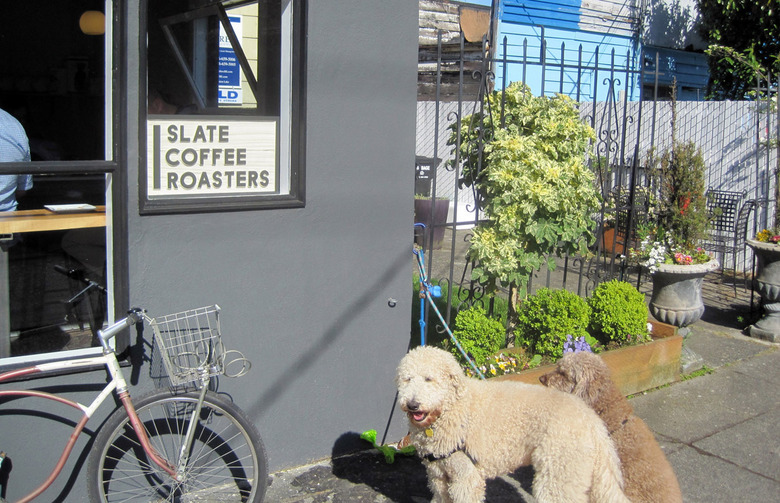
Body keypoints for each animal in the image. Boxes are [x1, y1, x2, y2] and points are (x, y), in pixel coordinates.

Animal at [396, 346, 631, 503]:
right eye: (407, 379)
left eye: (429, 379)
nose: (413, 404)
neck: (452, 408)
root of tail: (592, 420)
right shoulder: (438, 475)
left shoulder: (466, 478)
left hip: (559, 475)